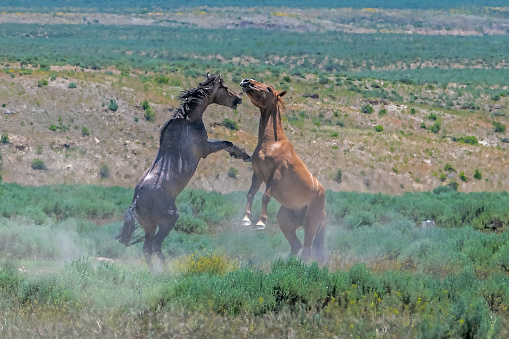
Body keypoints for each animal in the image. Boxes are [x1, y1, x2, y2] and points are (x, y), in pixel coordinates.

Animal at [115, 75, 250, 266]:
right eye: (224, 87)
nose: (238, 99)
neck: (189, 120)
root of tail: (136, 204)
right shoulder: (205, 149)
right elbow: (227, 143)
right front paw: (243, 155)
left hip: (150, 226)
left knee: (148, 249)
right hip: (169, 219)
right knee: (156, 245)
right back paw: (165, 269)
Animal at [238, 78, 326, 262]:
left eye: (269, 89)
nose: (246, 81)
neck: (272, 143)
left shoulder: (276, 174)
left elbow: (265, 197)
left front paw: (260, 223)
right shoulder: (257, 174)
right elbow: (250, 194)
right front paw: (246, 220)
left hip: (311, 224)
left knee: (306, 250)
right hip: (285, 221)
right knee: (297, 246)